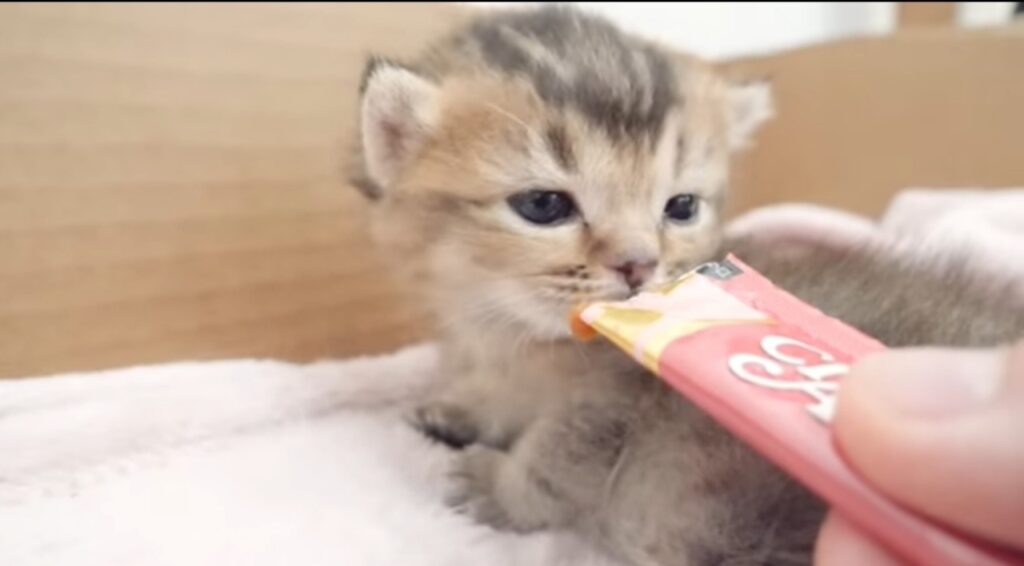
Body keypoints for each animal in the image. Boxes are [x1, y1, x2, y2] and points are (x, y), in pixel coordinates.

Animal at [350, 5, 1024, 564]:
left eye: (681, 207)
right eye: (543, 205)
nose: (638, 266)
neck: (514, 339)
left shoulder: (608, 406)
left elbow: (558, 462)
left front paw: (497, 486)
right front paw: (459, 409)